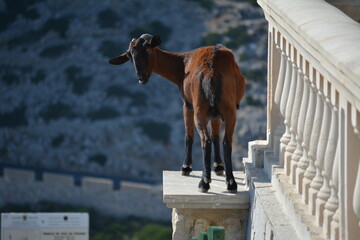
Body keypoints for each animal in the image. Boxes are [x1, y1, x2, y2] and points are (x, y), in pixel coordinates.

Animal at [109, 33, 245, 192]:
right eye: (129, 55)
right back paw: (231, 183)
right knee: (226, 141)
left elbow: (189, 135)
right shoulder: (215, 114)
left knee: (205, 140)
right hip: (229, 111)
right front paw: (218, 167)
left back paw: (204, 183)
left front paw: (186, 168)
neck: (182, 64)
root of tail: (212, 72)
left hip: (199, 110)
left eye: (147, 50)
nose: (141, 76)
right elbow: (215, 135)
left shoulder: (187, 104)